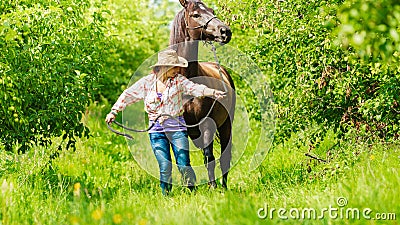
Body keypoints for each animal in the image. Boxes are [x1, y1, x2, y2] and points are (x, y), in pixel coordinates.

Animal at [168, 0, 234, 188]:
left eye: (211, 10)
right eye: (195, 14)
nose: (225, 31)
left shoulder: (207, 125)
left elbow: (209, 158)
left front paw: (213, 187)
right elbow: (181, 160)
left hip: (226, 125)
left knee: (224, 156)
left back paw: (224, 187)